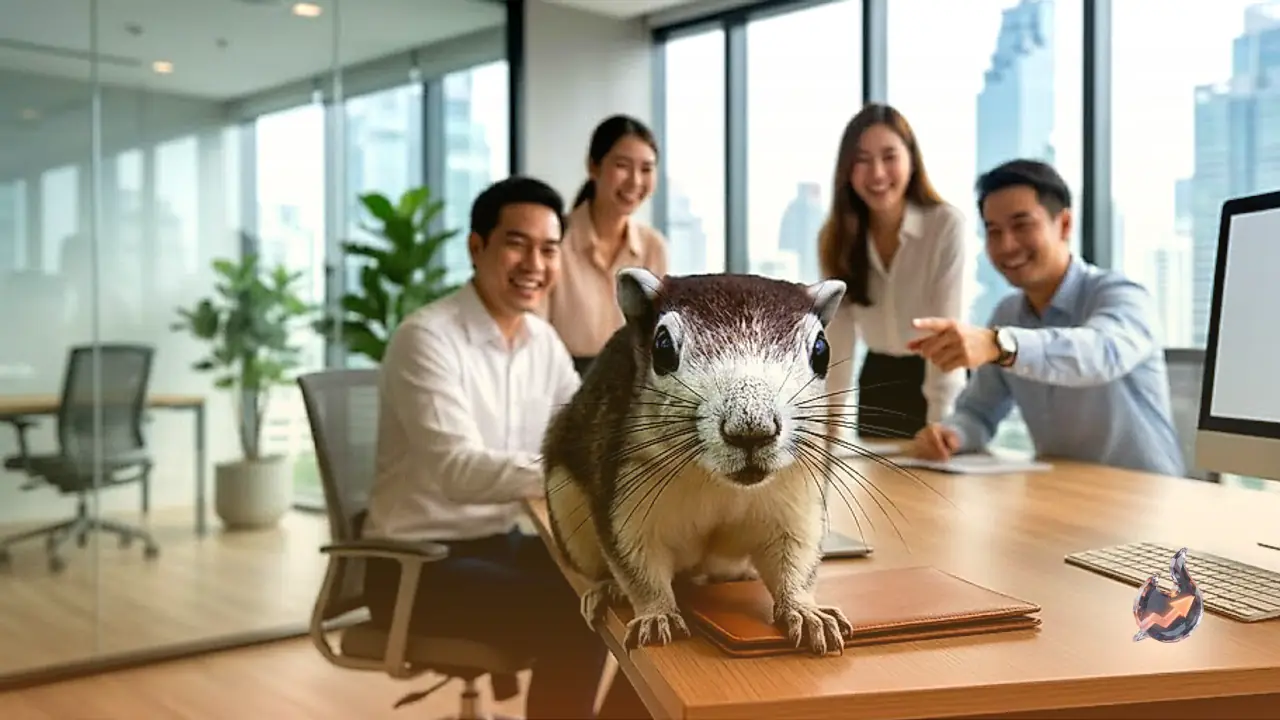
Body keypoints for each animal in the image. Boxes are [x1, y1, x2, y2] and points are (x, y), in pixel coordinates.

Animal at [542, 268, 854, 656]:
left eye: (821, 351)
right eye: (662, 347)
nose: (751, 430)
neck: (721, 481)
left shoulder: (797, 493)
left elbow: (795, 557)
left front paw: (806, 610)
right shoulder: (626, 492)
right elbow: (638, 564)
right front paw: (656, 614)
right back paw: (605, 589)